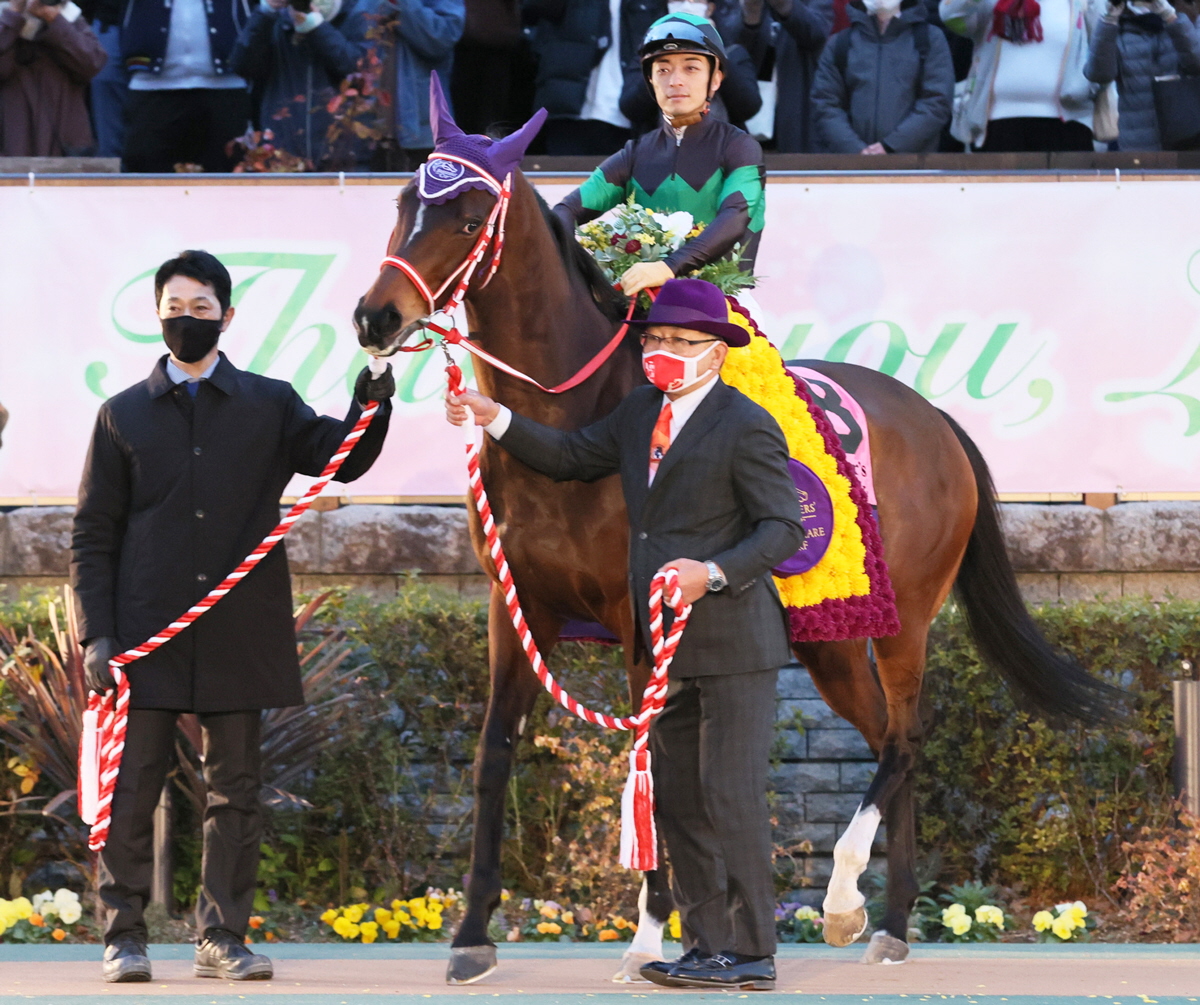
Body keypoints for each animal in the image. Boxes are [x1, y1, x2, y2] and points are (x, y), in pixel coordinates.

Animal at [350, 165, 1118, 983]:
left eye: (468, 222)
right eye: (403, 205)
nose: (375, 316)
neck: (569, 415)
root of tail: (935, 419)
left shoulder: (639, 614)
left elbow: (650, 758)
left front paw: (649, 935)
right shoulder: (516, 606)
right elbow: (495, 754)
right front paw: (471, 934)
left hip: (902, 620)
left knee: (906, 737)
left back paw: (846, 897)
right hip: (830, 643)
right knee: (888, 737)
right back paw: (889, 919)